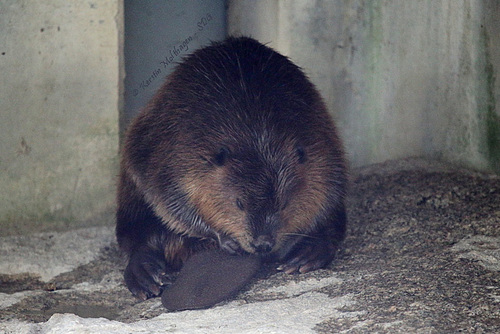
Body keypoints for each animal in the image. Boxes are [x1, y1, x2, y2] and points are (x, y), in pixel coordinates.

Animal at [116, 36, 348, 302]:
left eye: (283, 204)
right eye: (239, 203)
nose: (262, 245)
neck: (257, 132)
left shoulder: (322, 151)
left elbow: (326, 195)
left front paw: (293, 248)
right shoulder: (175, 154)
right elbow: (170, 200)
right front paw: (226, 240)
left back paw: (306, 256)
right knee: (139, 237)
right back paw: (147, 277)